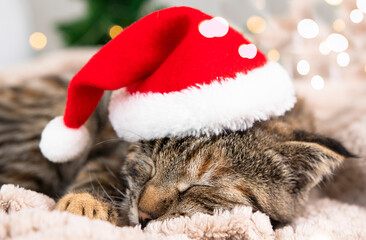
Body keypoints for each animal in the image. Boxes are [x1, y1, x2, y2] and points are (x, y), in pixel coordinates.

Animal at [0, 76, 354, 228]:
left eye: (201, 186)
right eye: (149, 164)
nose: (143, 214)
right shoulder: (112, 149)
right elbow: (97, 169)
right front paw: (84, 203)